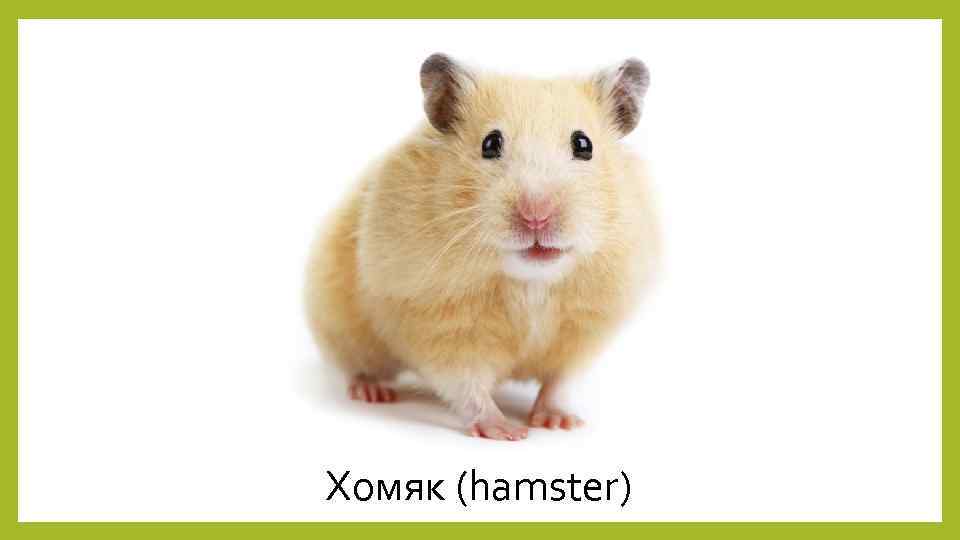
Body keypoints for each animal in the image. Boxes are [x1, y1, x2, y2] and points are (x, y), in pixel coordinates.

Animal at [305, 53, 658, 441]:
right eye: (490, 143)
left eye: (584, 145)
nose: (537, 215)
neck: (531, 281)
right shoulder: (438, 325)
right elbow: (467, 385)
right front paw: (508, 431)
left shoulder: (584, 330)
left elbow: (561, 381)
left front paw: (559, 422)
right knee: (356, 365)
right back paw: (371, 392)